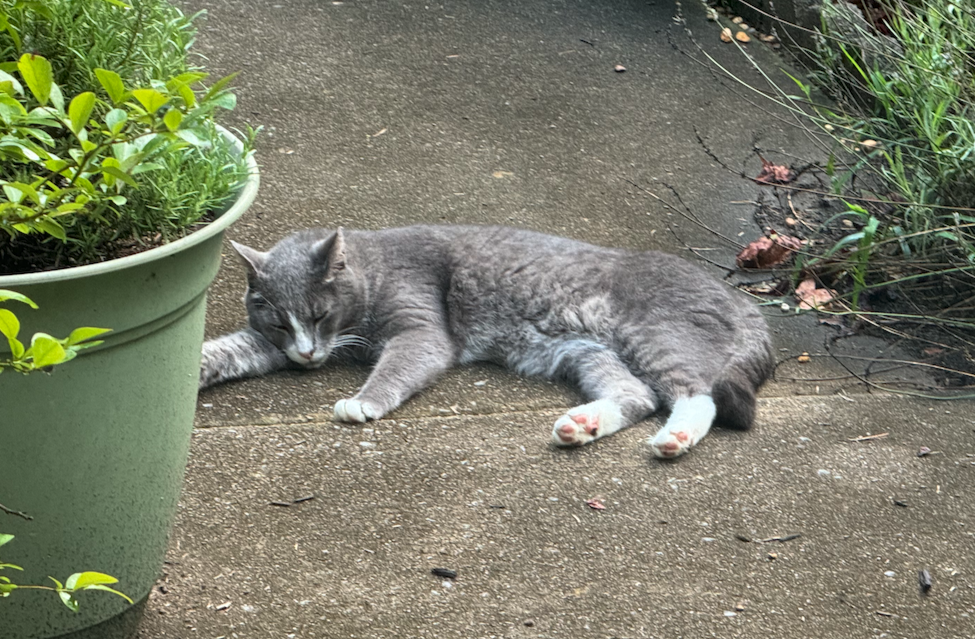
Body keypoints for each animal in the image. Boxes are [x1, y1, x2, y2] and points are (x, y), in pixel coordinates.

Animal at [202, 228, 772, 458]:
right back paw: (582, 425)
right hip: (589, 353)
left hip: (653, 337)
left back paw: (675, 438)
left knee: (696, 394)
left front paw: (362, 402)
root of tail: (742, 302)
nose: (306, 354)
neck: (373, 264)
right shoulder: (265, 343)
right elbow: (227, 349)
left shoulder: (421, 330)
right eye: (281, 324)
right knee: (639, 395)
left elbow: (397, 366)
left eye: (319, 315)